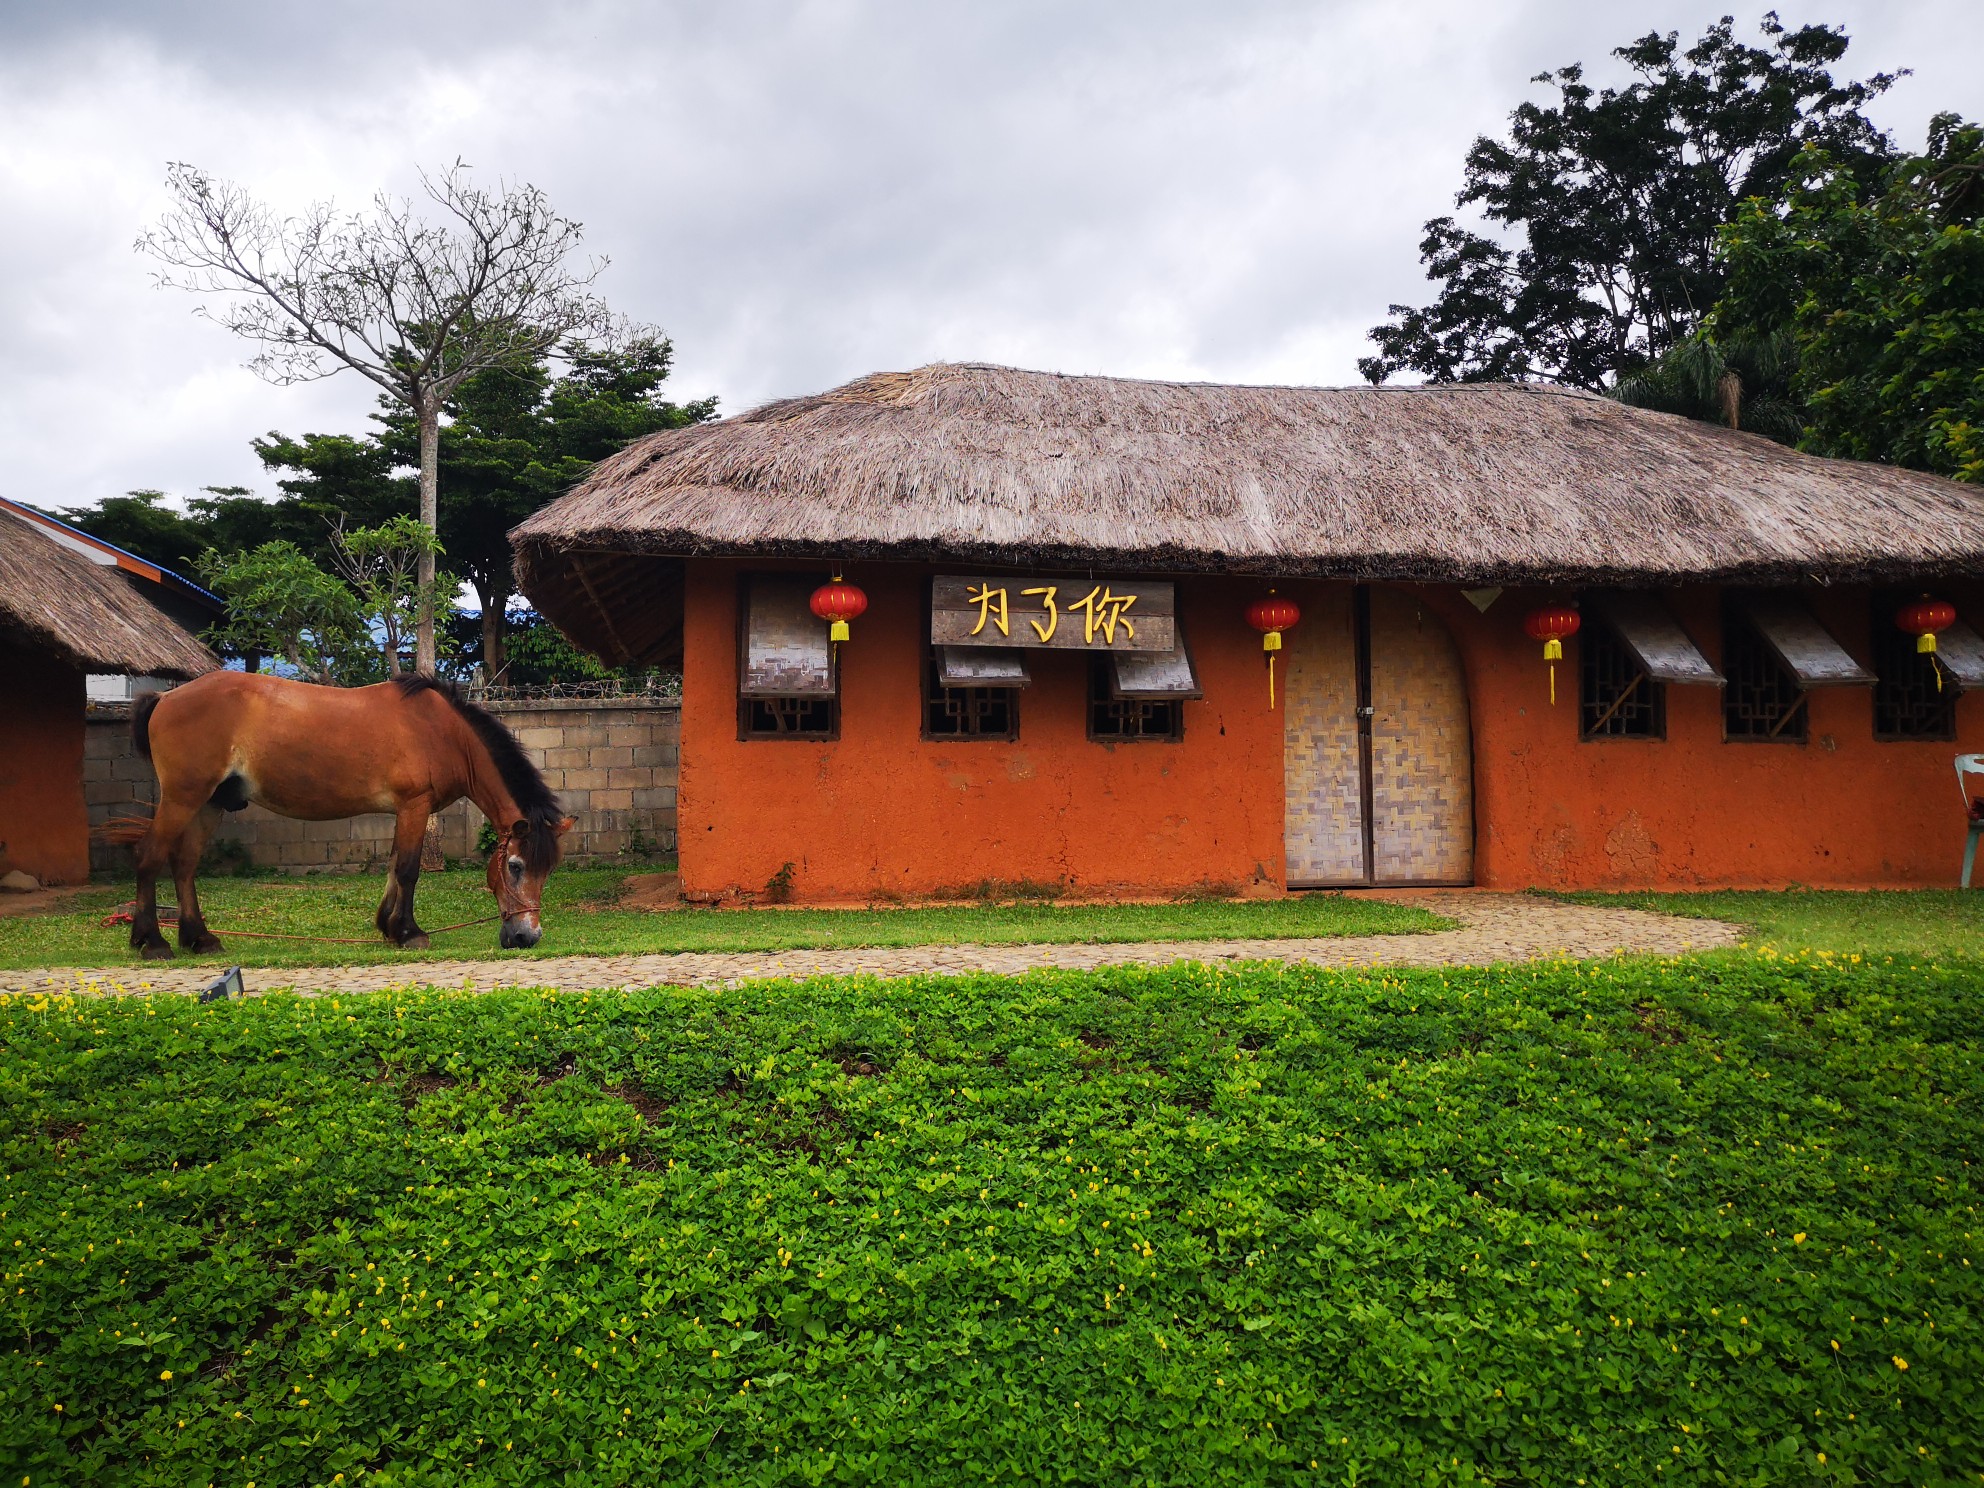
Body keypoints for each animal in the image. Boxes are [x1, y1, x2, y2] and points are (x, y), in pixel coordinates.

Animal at [127, 674, 571, 960]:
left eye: (547, 871)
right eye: (515, 866)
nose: (527, 936)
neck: (444, 731)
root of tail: (166, 697)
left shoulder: (404, 811)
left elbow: (393, 866)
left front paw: (389, 927)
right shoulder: (414, 805)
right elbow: (408, 870)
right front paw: (409, 932)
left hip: (209, 804)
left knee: (184, 864)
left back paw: (199, 939)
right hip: (184, 798)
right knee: (150, 856)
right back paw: (152, 942)